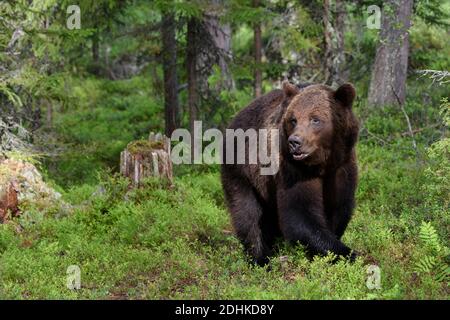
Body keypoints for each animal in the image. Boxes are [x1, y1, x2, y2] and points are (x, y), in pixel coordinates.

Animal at [221, 80, 358, 264]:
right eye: (293, 119)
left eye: (315, 119)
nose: (295, 141)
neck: (323, 163)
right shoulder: (294, 170)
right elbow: (299, 213)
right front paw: (347, 253)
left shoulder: (342, 167)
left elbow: (340, 207)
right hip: (242, 170)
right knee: (247, 213)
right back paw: (260, 258)